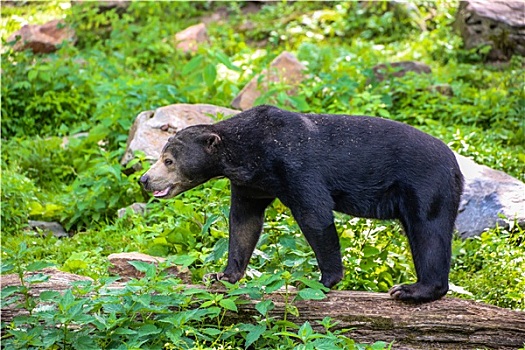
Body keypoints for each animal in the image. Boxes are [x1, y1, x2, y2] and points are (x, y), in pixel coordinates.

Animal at [139, 104, 462, 304]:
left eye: (168, 160)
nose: (144, 179)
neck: (251, 153)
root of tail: (455, 165)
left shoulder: (296, 167)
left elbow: (314, 215)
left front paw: (318, 280)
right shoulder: (252, 183)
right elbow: (244, 222)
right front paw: (221, 275)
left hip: (426, 186)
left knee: (428, 233)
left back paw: (410, 289)